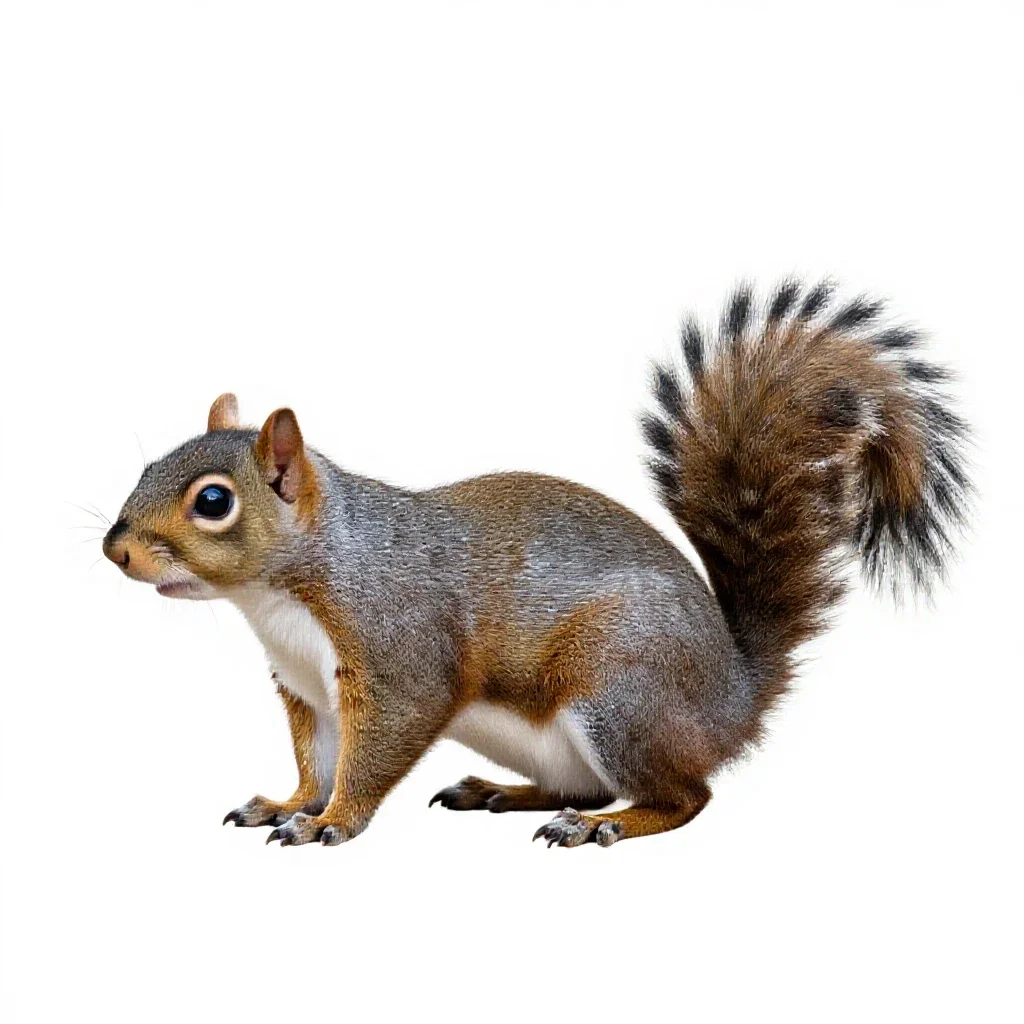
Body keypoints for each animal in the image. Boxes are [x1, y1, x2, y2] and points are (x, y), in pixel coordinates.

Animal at [103, 281, 971, 848]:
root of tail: (731, 701)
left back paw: (604, 826)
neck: (283, 595)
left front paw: (332, 823)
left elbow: (377, 748)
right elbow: (315, 759)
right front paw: (287, 803)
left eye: (214, 501)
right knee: (581, 780)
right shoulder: (306, 689)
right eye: (147, 470)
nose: (116, 550)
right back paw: (501, 791)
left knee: (686, 794)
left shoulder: (398, 654)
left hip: (620, 692)